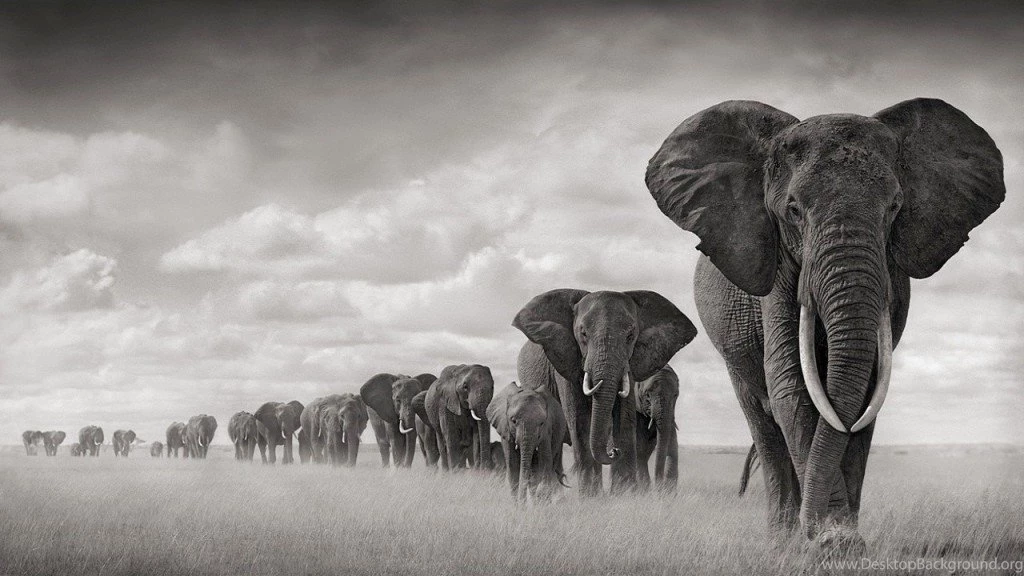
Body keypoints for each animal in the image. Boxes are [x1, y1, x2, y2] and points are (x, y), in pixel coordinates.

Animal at [513, 289, 697, 495]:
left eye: (630, 335)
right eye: (583, 334)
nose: (613, 451)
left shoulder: (630, 363)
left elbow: (624, 416)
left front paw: (625, 494)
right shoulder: (564, 357)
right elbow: (579, 418)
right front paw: (591, 497)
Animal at [645, 98, 1004, 545]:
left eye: (894, 208)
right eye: (794, 210)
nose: (817, 531)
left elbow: (867, 391)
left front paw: (842, 541)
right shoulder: (777, 268)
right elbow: (792, 386)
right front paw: (829, 544)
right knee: (763, 422)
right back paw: (782, 537)